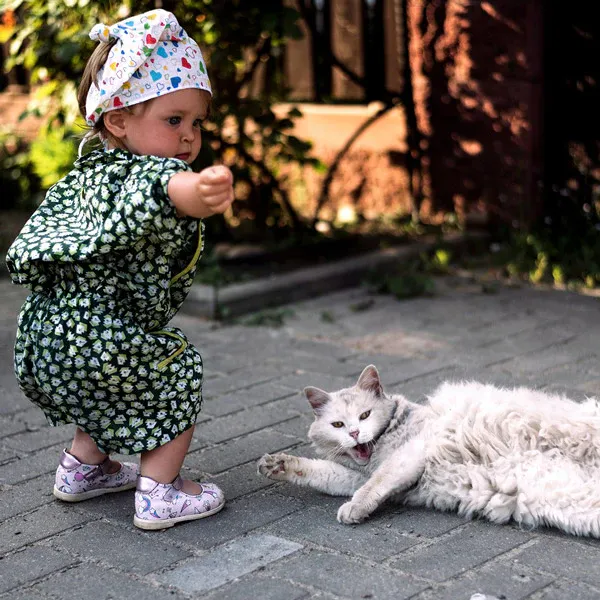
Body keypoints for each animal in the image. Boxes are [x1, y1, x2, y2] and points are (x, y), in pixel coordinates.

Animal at [256, 366, 600, 540]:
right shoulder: (355, 476)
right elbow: (323, 474)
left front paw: (353, 510)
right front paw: (276, 464)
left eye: (365, 416)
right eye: (338, 424)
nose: (354, 434)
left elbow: (374, 484)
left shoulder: (409, 455)